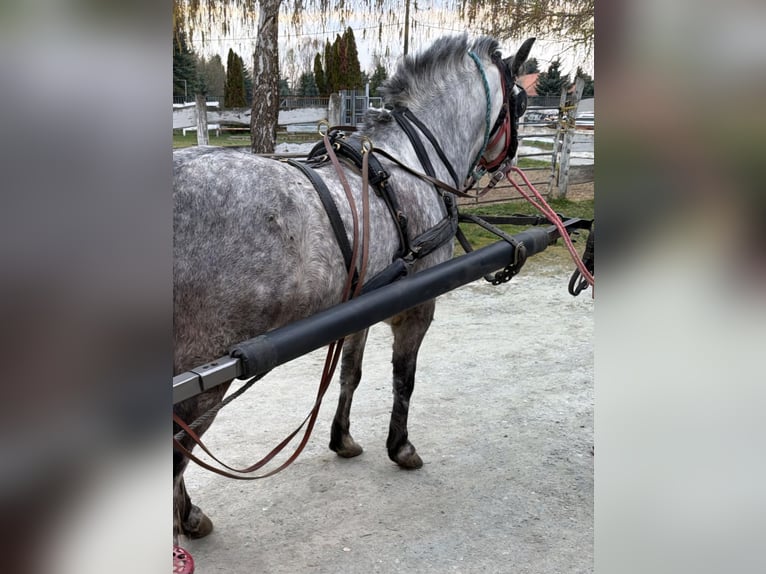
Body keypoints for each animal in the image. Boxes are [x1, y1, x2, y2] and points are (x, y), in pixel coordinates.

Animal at [173, 33, 535, 540]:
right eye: (520, 101)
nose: (510, 165)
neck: (408, 166)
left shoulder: (360, 306)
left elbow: (350, 373)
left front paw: (341, 438)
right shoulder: (417, 307)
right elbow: (404, 378)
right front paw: (400, 447)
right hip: (203, 375)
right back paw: (187, 517)